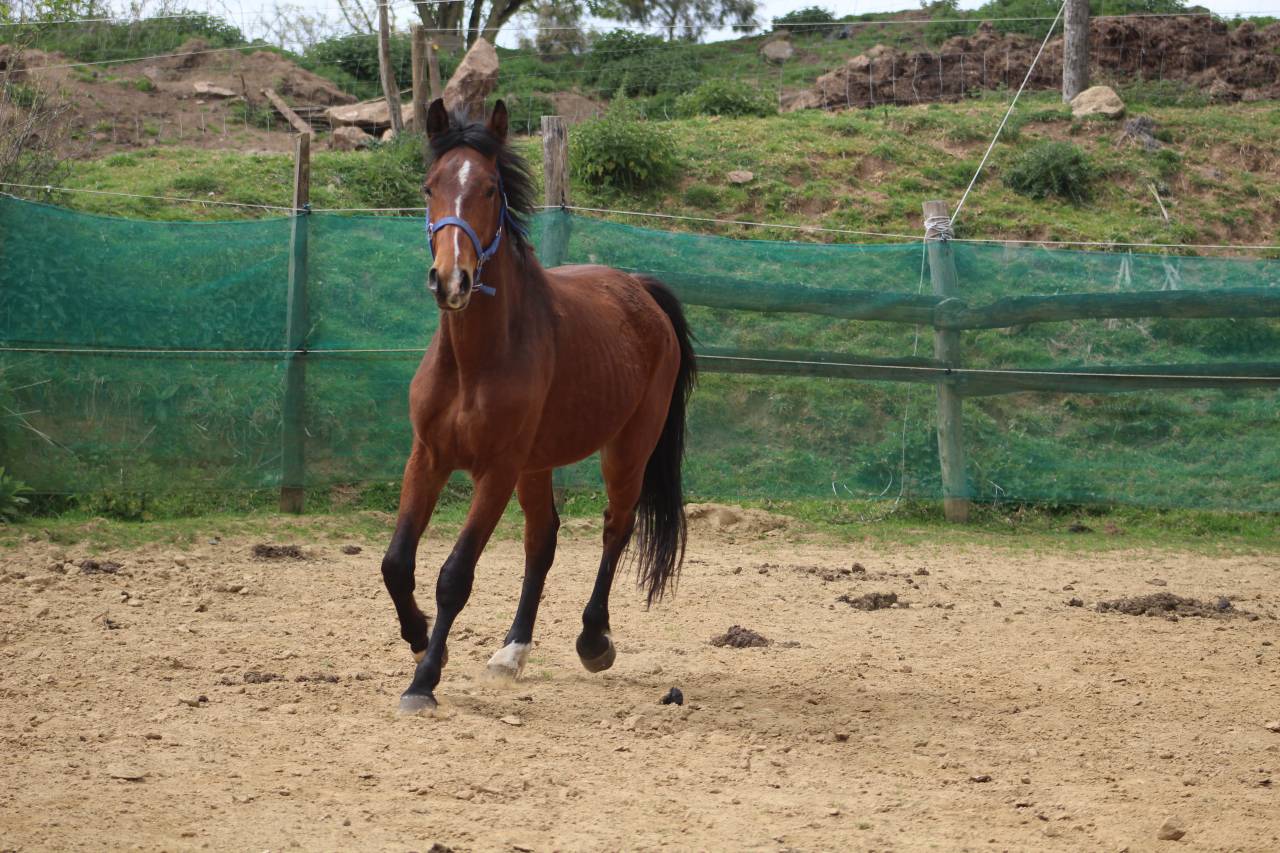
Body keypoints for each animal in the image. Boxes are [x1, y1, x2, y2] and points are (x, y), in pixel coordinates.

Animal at [380, 98, 697, 714]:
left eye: (488, 189)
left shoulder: (496, 471)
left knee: (615, 528)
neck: (475, 359)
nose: (451, 280)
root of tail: (640, 290)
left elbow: (455, 575)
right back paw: (512, 652)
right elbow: (397, 563)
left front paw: (424, 680)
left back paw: (594, 640)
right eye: (430, 186)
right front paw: (419, 637)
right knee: (542, 540)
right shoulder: (427, 457)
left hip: (626, 450)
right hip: (538, 464)